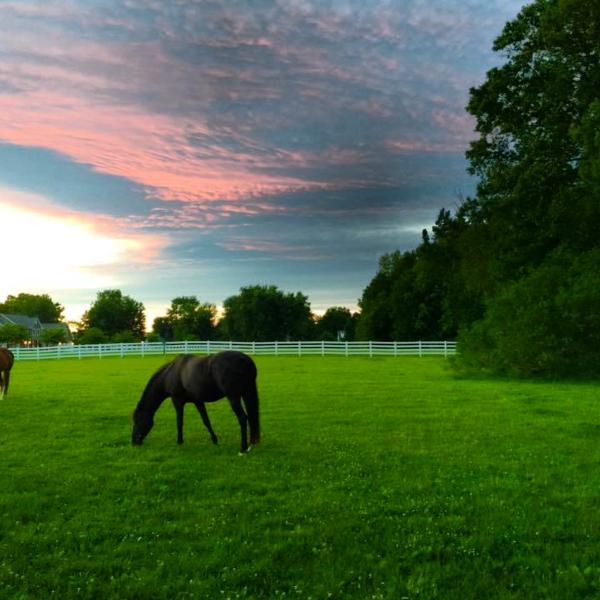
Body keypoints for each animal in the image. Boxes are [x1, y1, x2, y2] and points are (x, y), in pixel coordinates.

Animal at [131, 350, 260, 452]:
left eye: (137, 420)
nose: (134, 441)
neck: (171, 373)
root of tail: (245, 359)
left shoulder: (177, 401)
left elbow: (179, 422)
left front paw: (179, 442)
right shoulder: (198, 401)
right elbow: (206, 421)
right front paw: (214, 440)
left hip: (233, 397)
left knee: (242, 417)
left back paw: (243, 448)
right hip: (246, 393)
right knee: (250, 417)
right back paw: (250, 444)